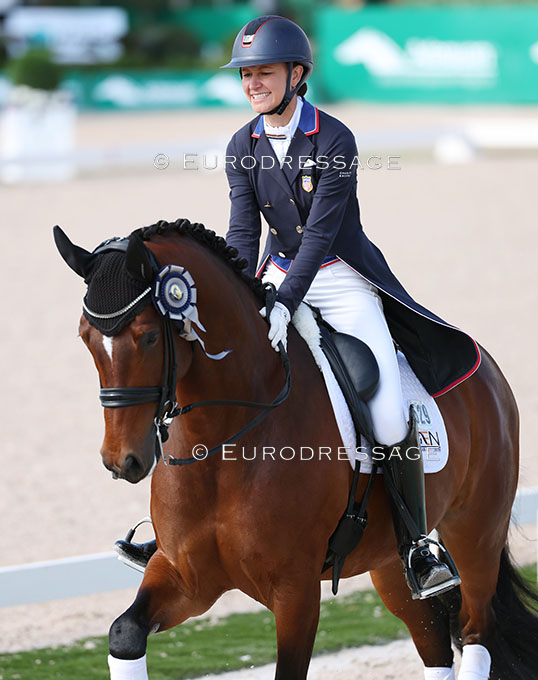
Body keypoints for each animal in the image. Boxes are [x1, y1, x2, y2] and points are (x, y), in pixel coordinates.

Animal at [55, 218, 538, 680]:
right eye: (85, 337)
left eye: (149, 337)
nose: (122, 460)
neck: (226, 443)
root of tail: (488, 372)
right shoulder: (185, 578)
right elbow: (124, 632)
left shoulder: (296, 592)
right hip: (389, 563)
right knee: (433, 637)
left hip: (475, 534)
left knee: (477, 631)